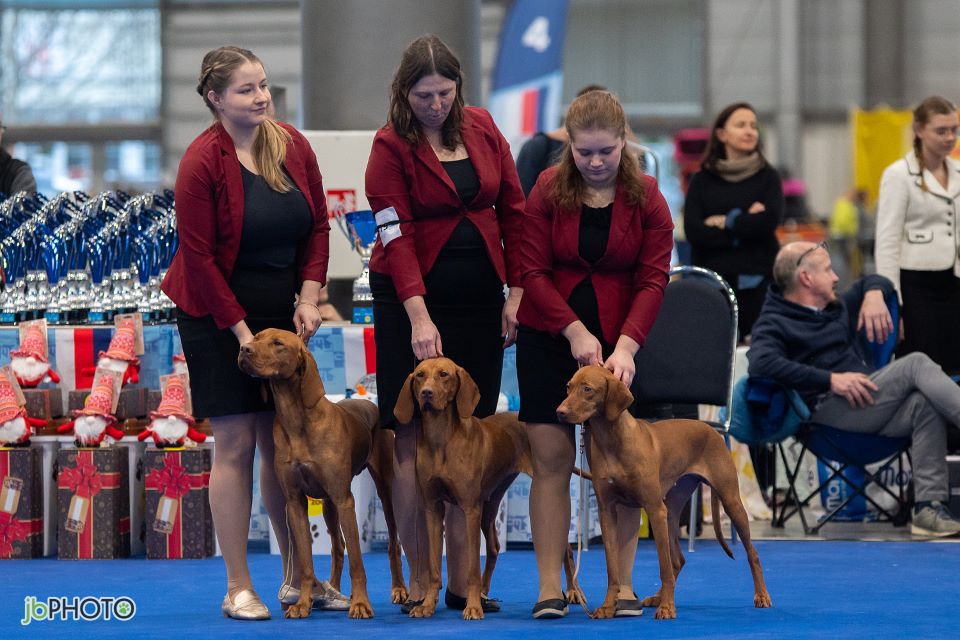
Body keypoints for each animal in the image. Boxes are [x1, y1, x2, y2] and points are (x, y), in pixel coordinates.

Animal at [238, 328, 407, 619]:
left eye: (278, 343)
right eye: (257, 337)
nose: (244, 349)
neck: (296, 420)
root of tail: (370, 403)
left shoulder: (344, 499)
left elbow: (358, 562)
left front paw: (361, 604)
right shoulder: (295, 502)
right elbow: (306, 563)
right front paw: (303, 604)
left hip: (384, 490)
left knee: (392, 544)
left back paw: (399, 590)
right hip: (327, 504)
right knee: (337, 548)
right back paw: (334, 593)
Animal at [394, 357, 585, 620]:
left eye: (444, 374)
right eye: (420, 375)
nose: (426, 394)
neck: (440, 437)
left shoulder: (469, 509)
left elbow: (472, 568)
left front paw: (473, 606)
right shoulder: (432, 509)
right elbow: (433, 568)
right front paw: (427, 605)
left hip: (545, 487)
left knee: (565, 549)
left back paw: (573, 591)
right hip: (490, 505)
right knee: (494, 548)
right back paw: (485, 592)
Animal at [556, 365, 772, 620]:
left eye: (587, 389)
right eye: (568, 387)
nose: (559, 412)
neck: (612, 439)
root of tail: (711, 429)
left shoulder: (654, 509)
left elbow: (663, 566)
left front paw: (668, 607)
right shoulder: (607, 512)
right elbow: (613, 567)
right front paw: (609, 606)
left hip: (728, 501)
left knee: (751, 553)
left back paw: (761, 595)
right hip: (671, 511)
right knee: (678, 560)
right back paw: (657, 597)